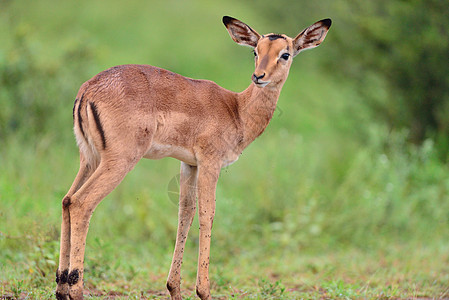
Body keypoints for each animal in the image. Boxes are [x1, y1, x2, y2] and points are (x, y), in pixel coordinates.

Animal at [55, 16, 328, 300]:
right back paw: (76, 289)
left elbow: (185, 213)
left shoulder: (189, 164)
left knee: (66, 200)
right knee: (81, 203)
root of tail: (88, 90)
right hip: (118, 161)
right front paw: (204, 290)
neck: (237, 110)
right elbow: (208, 214)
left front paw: (174, 288)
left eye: (285, 54)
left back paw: (61, 288)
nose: (259, 76)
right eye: (256, 51)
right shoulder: (210, 163)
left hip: (89, 159)